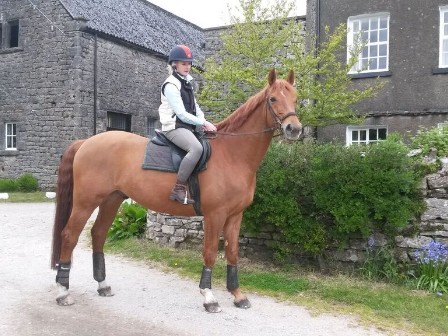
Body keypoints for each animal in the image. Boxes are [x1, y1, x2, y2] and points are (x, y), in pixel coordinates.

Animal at [50, 68, 300, 312]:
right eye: (273, 98)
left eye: (295, 98)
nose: (294, 129)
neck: (231, 154)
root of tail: (86, 142)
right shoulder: (215, 215)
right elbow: (210, 252)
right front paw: (209, 297)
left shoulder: (235, 215)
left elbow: (232, 252)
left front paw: (237, 295)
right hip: (85, 202)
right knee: (69, 235)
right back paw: (63, 292)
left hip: (111, 200)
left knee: (98, 234)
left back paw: (102, 285)